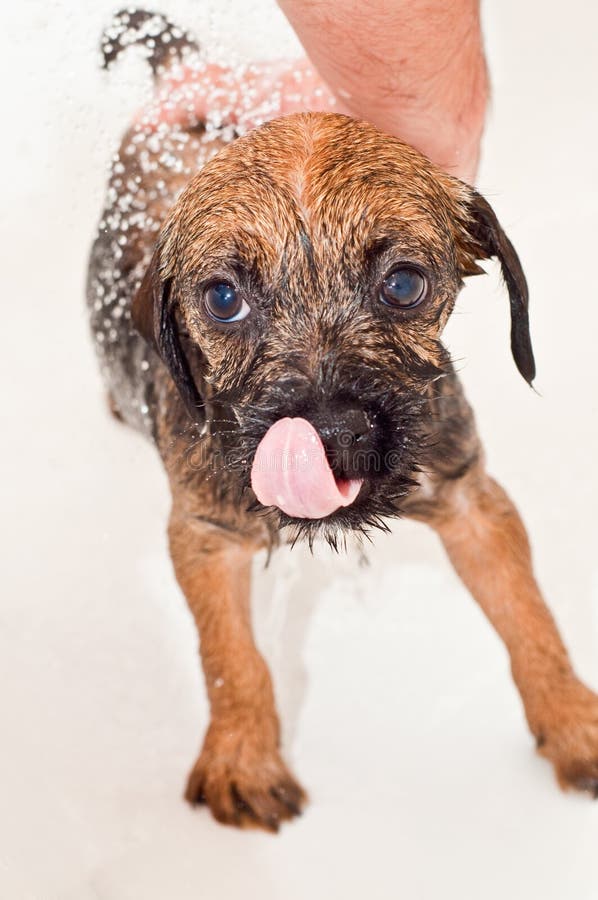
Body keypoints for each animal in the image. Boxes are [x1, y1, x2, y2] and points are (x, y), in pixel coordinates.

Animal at [88, 10, 598, 832]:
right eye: (223, 299)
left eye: (403, 284)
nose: (330, 434)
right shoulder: (203, 533)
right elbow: (230, 658)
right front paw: (242, 759)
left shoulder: (469, 497)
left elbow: (530, 617)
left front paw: (574, 721)